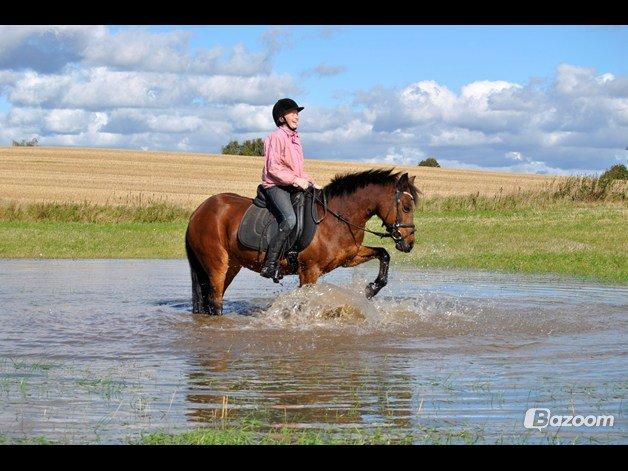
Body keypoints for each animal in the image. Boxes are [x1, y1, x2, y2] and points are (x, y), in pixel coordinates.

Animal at [184, 168, 420, 316]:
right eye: (407, 206)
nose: (408, 243)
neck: (336, 218)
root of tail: (199, 211)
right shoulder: (309, 271)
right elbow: (305, 301)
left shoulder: (349, 257)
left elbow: (383, 254)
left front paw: (371, 289)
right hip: (217, 264)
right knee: (215, 301)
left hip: (232, 265)